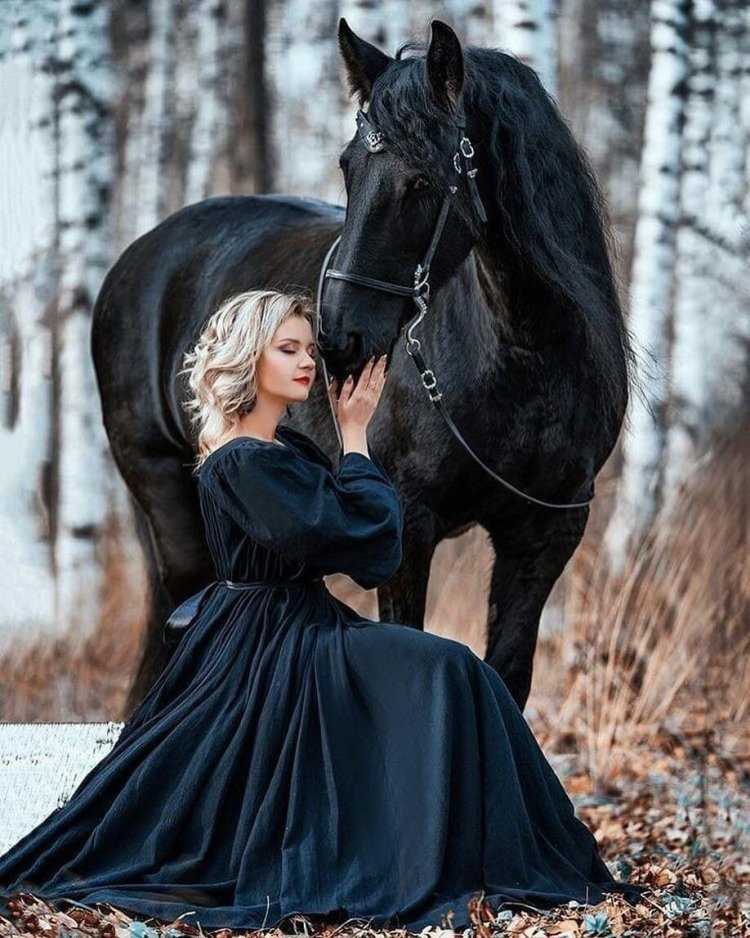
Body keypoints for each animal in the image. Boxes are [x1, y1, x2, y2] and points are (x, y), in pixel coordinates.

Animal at [92, 18, 637, 719]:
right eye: (348, 167)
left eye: (423, 182)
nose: (335, 337)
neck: (525, 357)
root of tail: (138, 258)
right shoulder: (408, 524)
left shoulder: (544, 534)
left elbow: (509, 674)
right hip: (163, 488)